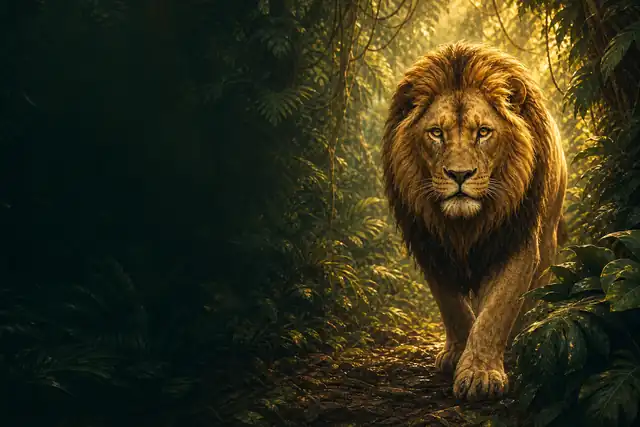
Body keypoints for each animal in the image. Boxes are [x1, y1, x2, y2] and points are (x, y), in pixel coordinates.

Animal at [382, 42, 567, 401]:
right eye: (436, 133)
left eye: (483, 132)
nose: (459, 174)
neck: (463, 226)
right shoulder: (430, 244)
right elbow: (452, 306)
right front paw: (459, 354)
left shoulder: (516, 243)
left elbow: (496, 311)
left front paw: (481, 373)